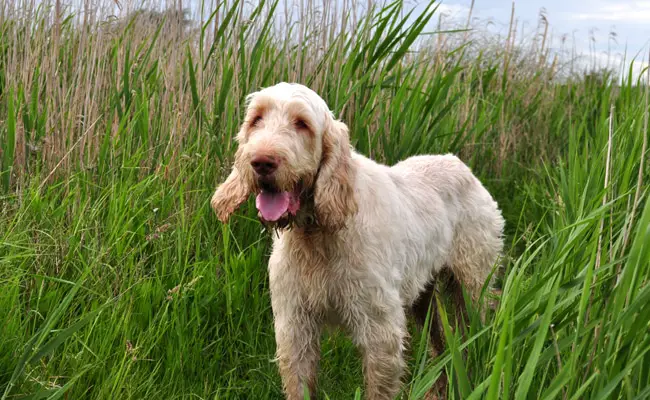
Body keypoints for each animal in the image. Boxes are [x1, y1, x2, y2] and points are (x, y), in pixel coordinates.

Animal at [210, 83, 504, 398]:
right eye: (257, 119)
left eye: (302, 123)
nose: (262, 162)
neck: (316, 235)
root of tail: (459, 164)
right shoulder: (295, 328)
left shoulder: (380, 331)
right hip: (424, 298)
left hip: (473, 288)